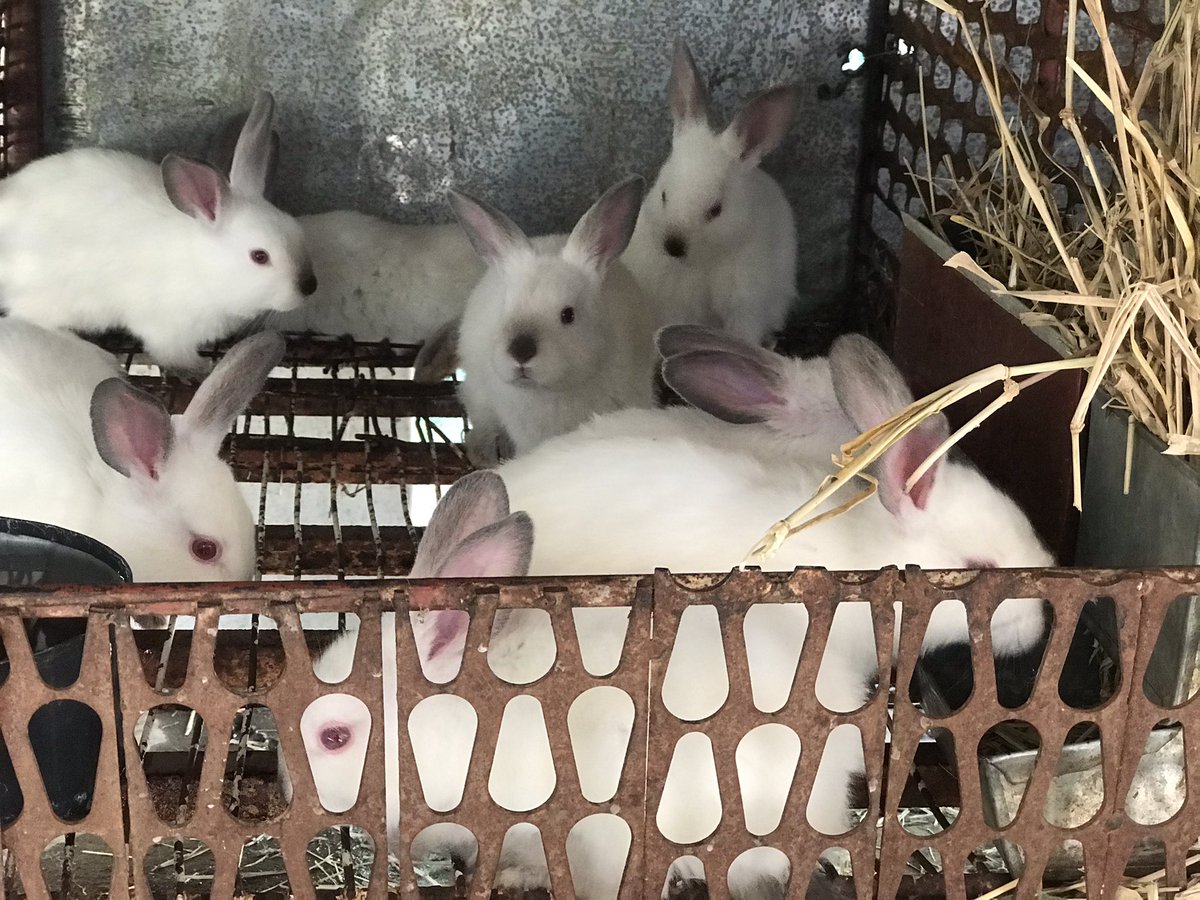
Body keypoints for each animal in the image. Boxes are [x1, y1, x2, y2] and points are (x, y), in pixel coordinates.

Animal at [0, 91, 316, 372]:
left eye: (298, 231)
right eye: (260, 256)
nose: (309, 286)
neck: (203, 268)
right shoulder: (168, 329)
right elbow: (172, 355)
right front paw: (201, 367)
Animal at [621, 39, 802, 347]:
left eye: (716, 210)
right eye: (663, 195)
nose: (673, 246)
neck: (701, 263)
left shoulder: (746, 308)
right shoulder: (673, 306)